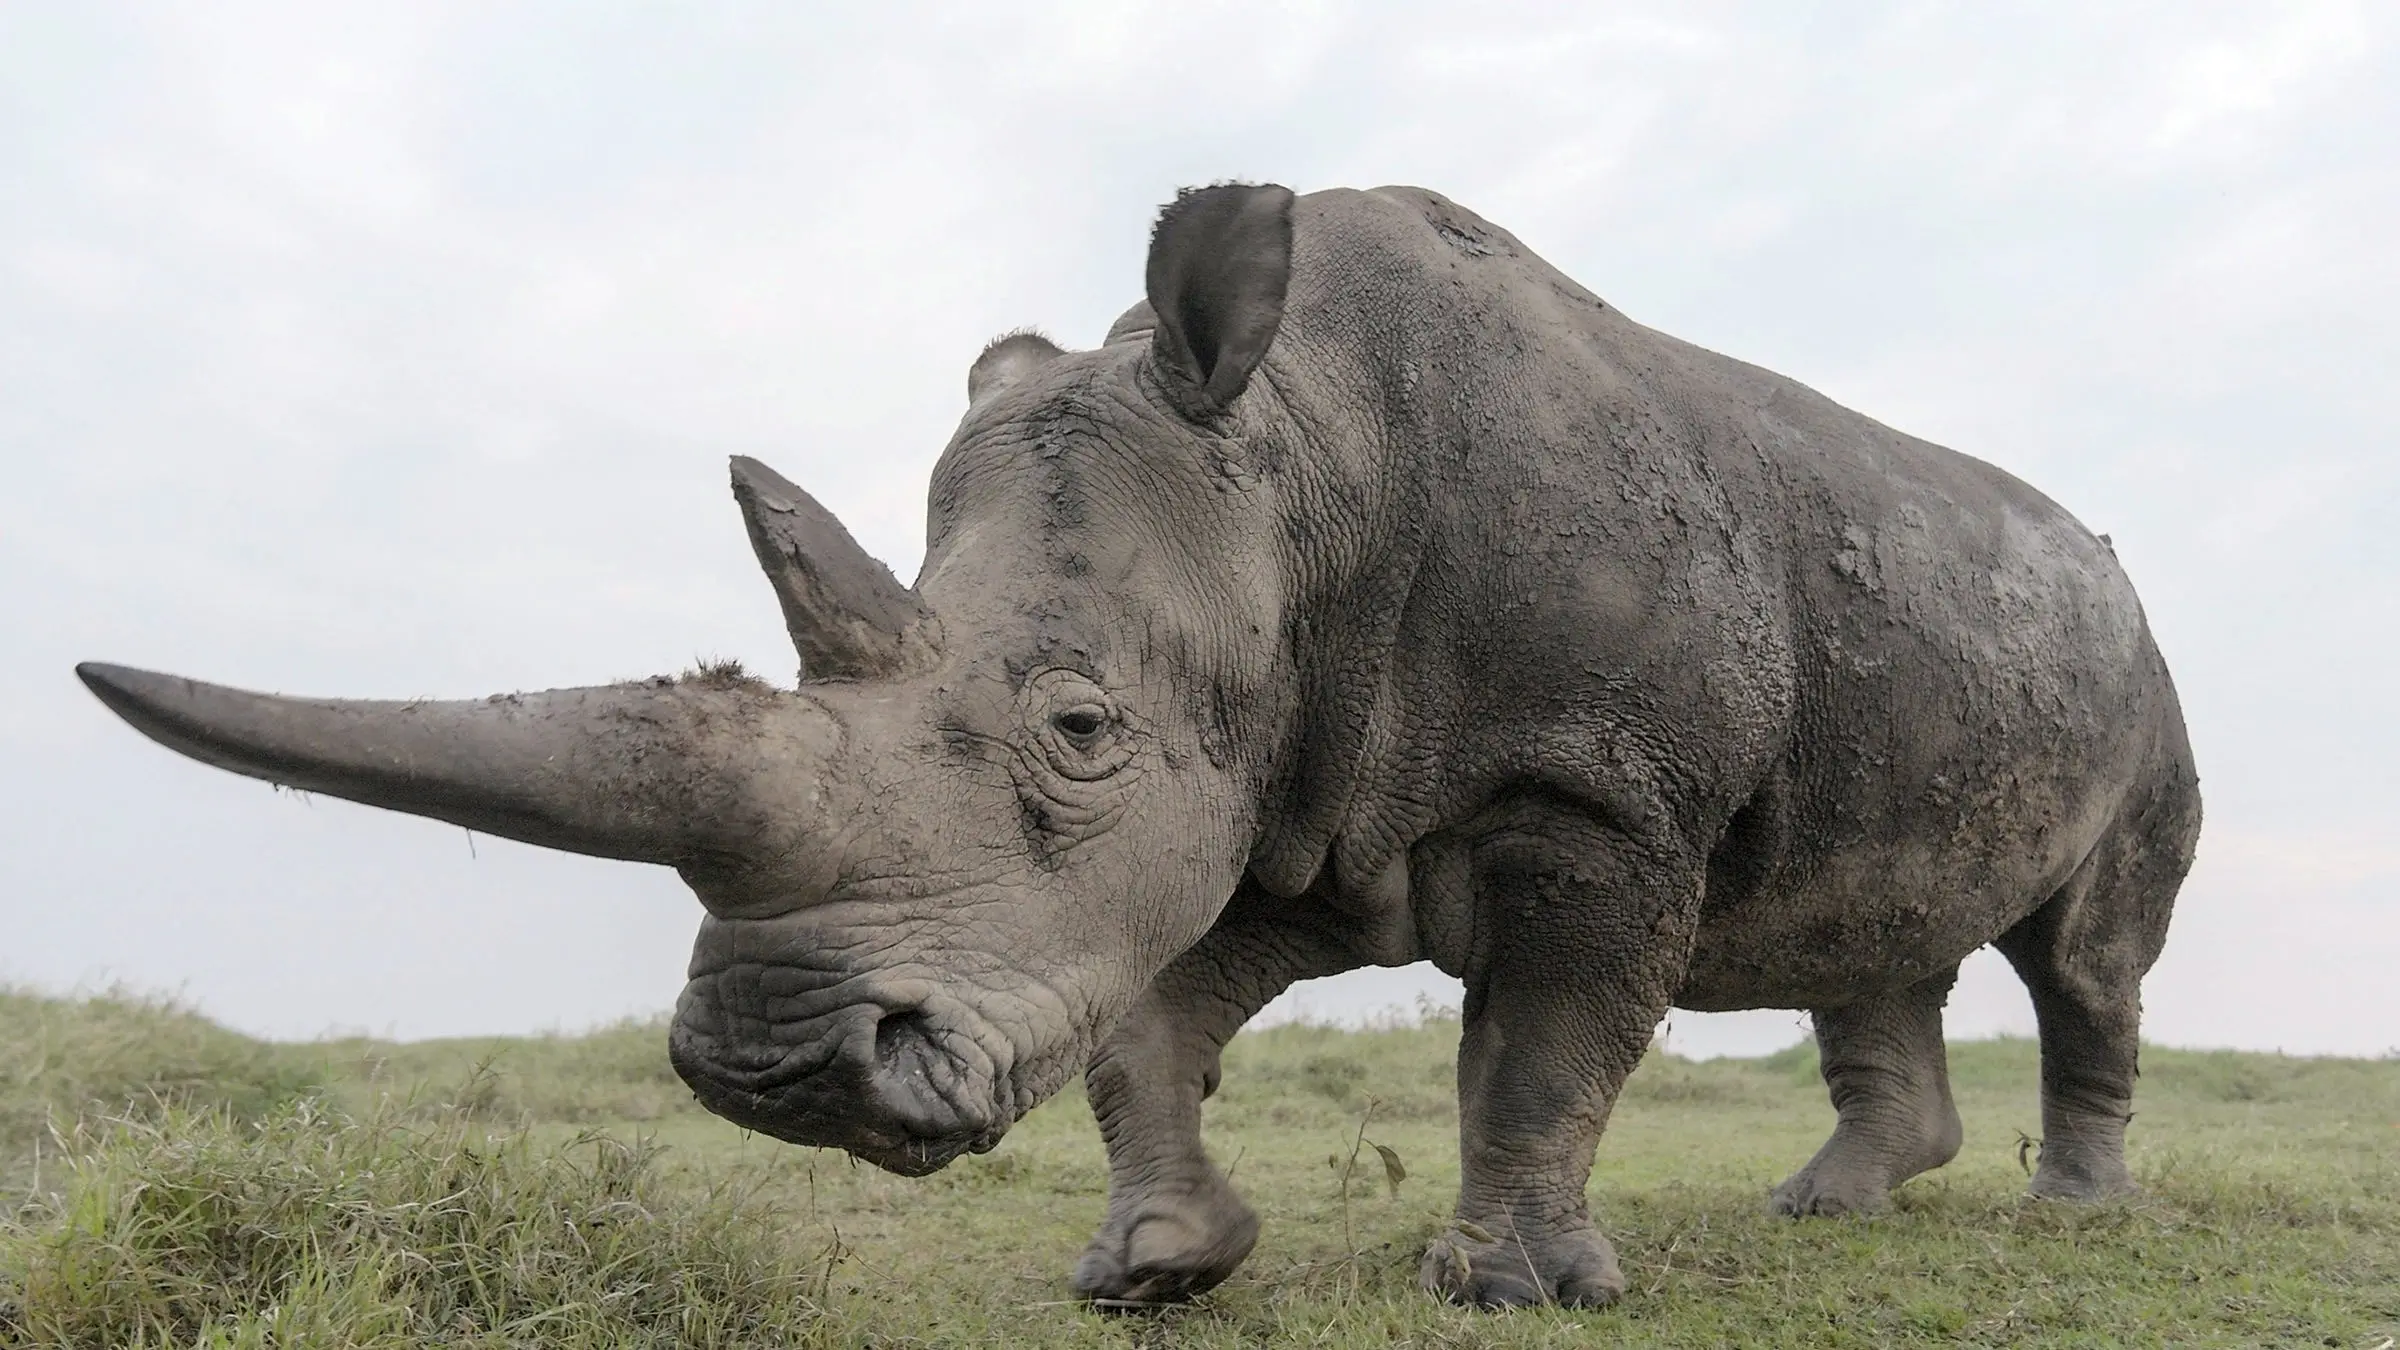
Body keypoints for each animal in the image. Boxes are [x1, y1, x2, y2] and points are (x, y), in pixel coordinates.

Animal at [79, 182, 2201, 1310]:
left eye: (1077, 724)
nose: (775, 1076)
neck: (1302, 456)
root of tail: (2114, 577)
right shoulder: (1286, 787)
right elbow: (1144, 1025)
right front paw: (1161, 1266)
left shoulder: (1585, 785)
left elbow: (1540, 1048)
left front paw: (1516, 1291)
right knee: (1875, 927)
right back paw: (1835, 1206)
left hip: (2143, 675)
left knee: (2084, 955)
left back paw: (2074, 1217)